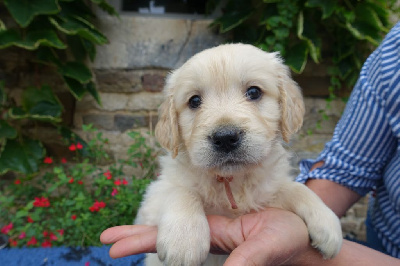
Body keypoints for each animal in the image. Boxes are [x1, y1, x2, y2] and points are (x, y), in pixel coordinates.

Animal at [136, 44, 342, 266]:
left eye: (253, 92)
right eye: (194, 101)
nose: (225, 137)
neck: (231, 180)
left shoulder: (268, 190)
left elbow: (296, 188)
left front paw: (327, 223)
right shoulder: (153, 197)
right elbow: (181, 191)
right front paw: (183, 241)